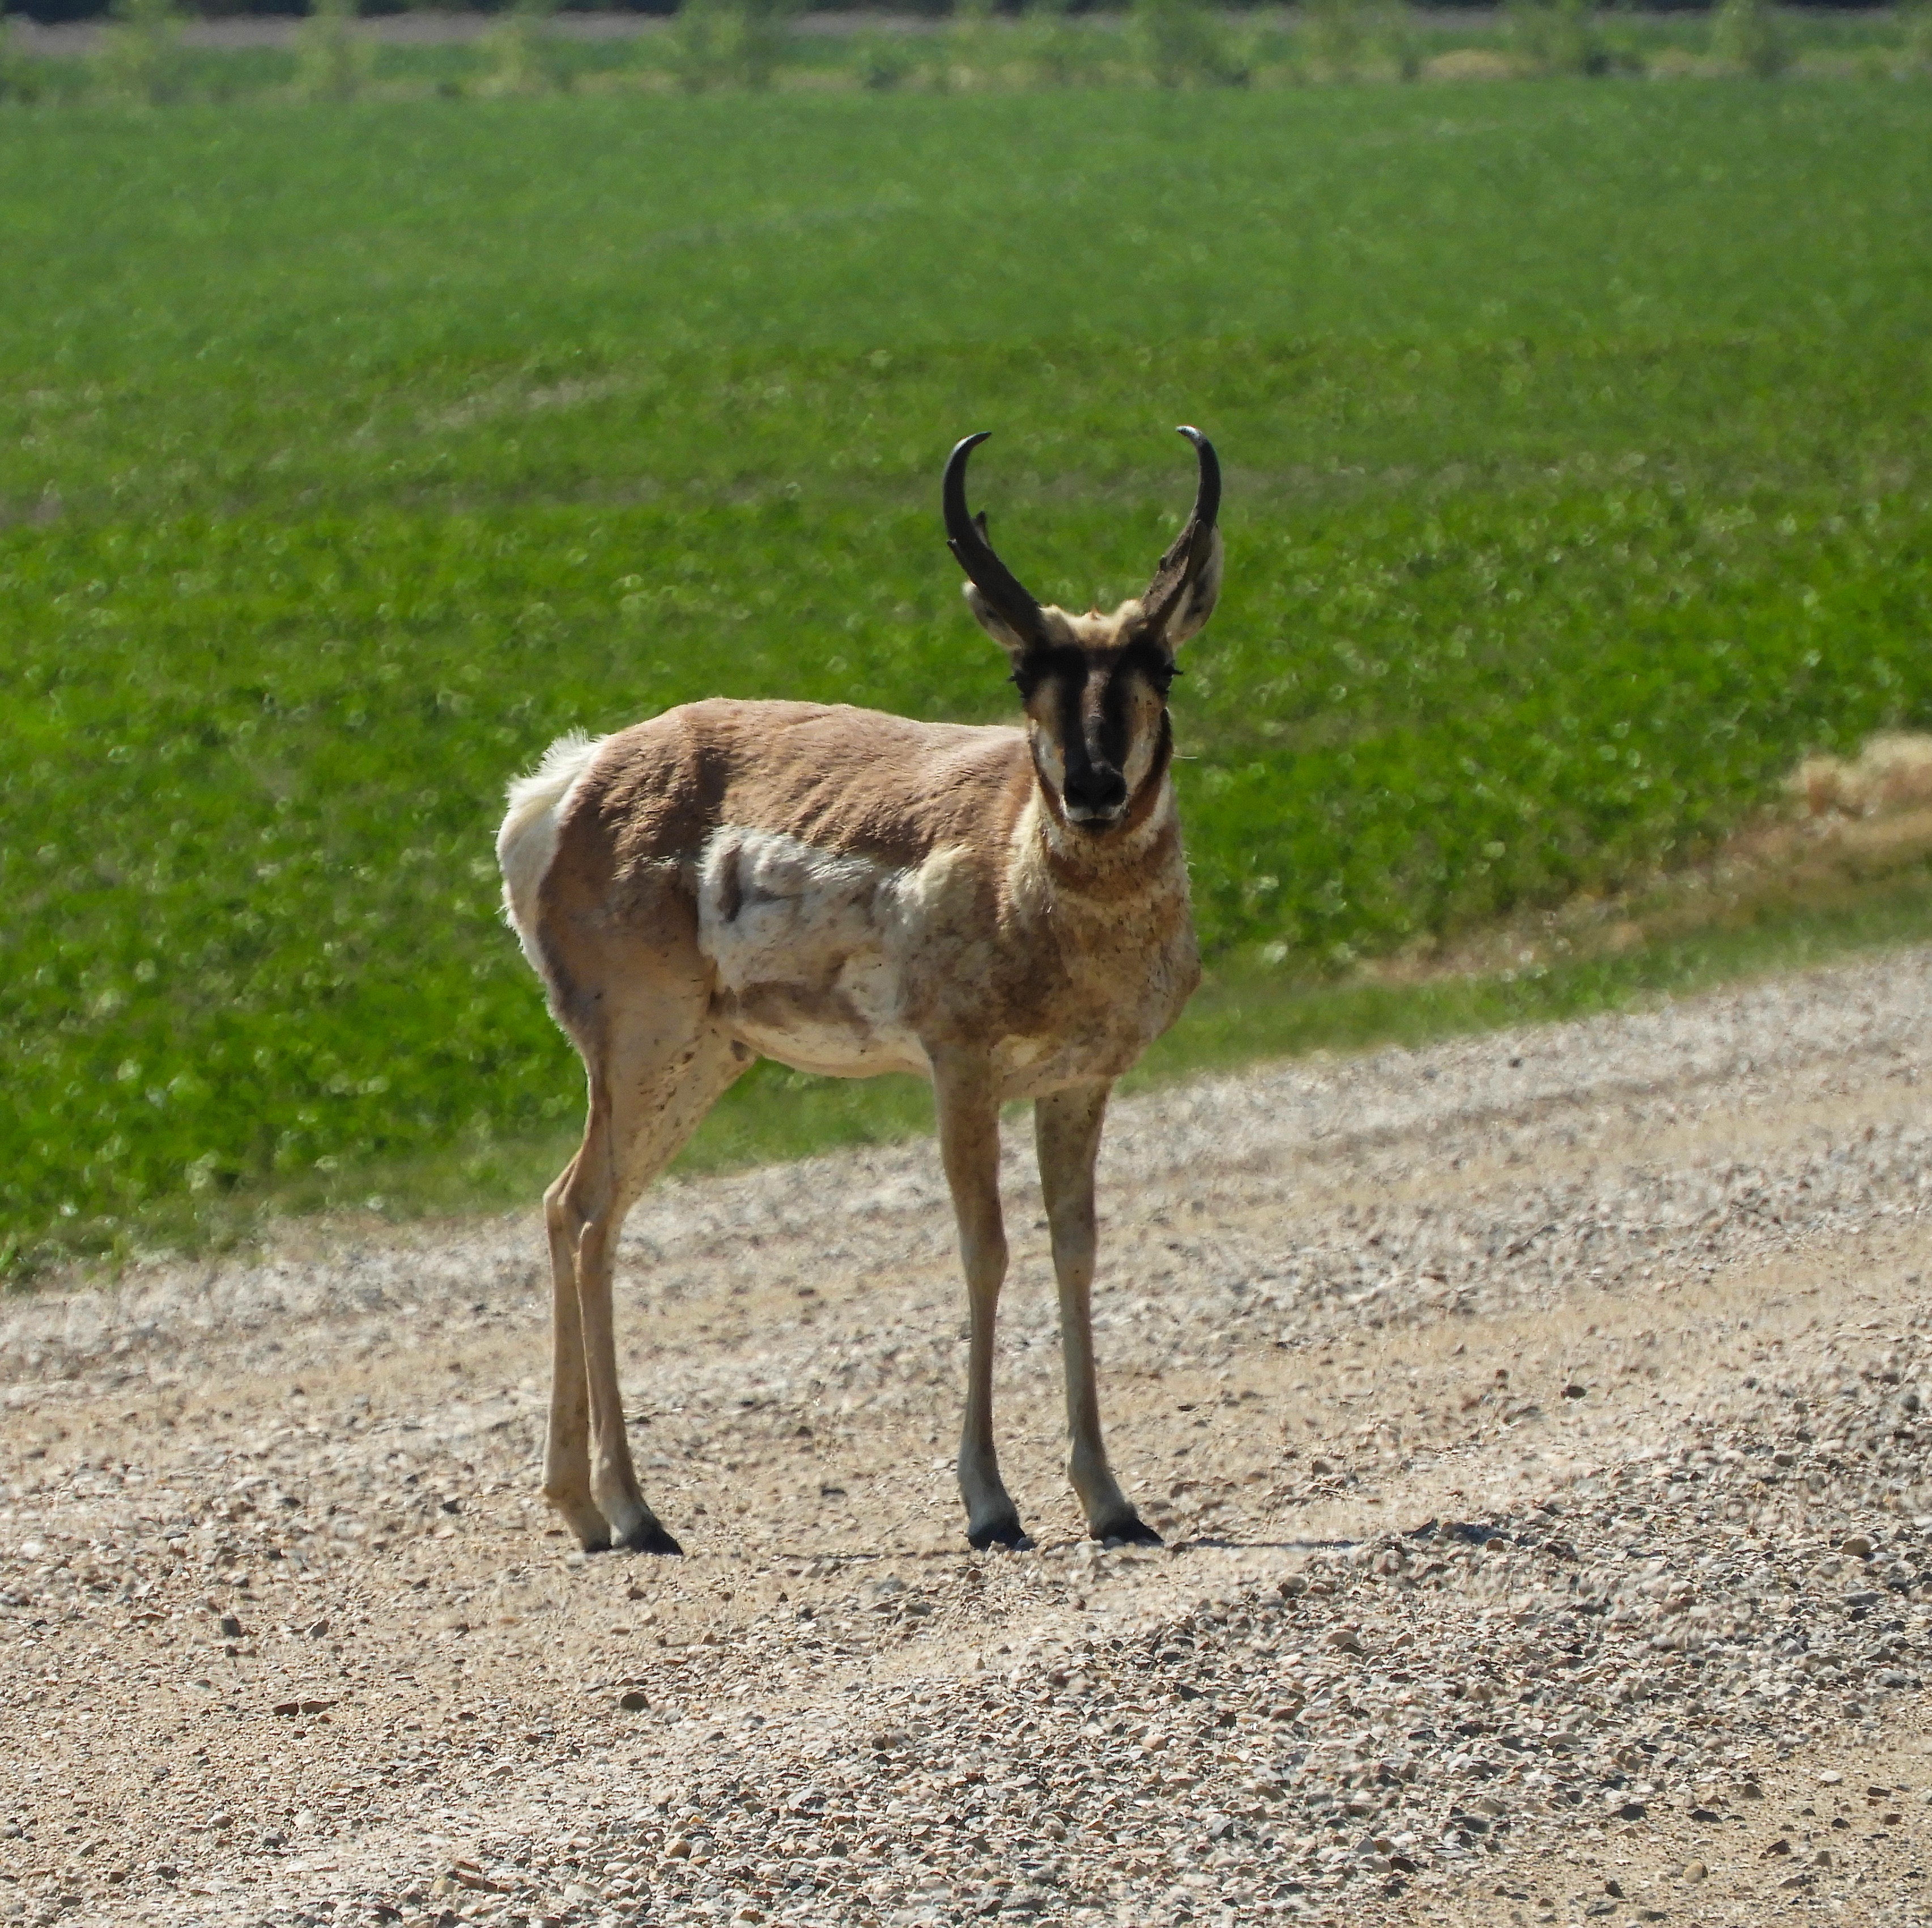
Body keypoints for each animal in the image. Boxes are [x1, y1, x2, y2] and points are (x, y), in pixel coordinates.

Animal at [497, 427, 1222, 1556]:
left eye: (1163, 663)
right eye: (1024, 669)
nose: (1094, 790)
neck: (1017, 857)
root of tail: (570, 781)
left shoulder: (1079, 1082)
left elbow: (1076, 1248)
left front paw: (1112, 1500)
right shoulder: (961, 1073)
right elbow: (985, 1249)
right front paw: (990, 1504)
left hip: (701, 1061)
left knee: (575, 1206)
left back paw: (586, 1508)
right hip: (644, 1048)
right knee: (584, 1213)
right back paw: (635, 1509)